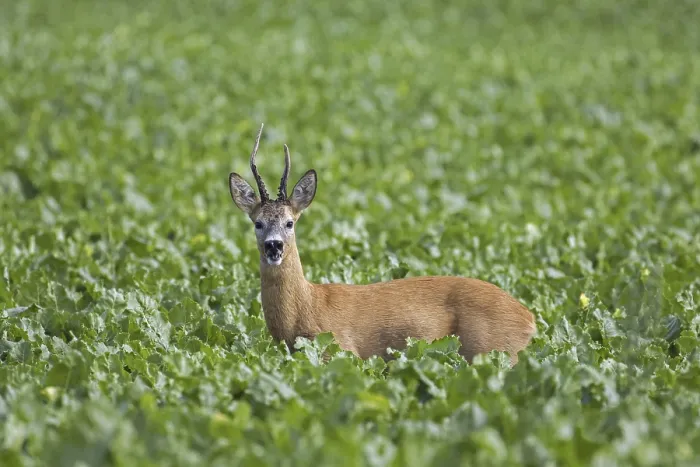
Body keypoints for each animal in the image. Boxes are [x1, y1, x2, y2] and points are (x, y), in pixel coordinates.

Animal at [228, 124, 536, 366]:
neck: (307, 308)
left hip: (496, 351)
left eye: (290, 222)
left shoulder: (340, 350)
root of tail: (530, 319)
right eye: (258, 223)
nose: (274, 246)